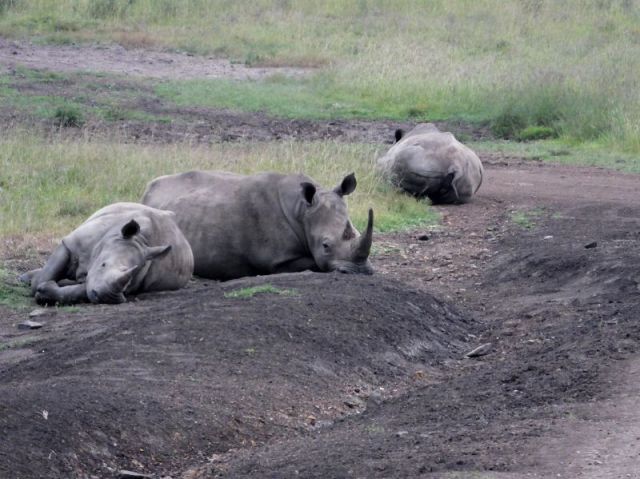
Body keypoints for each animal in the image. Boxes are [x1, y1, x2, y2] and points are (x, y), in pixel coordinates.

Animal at [20, 203, 194, 304]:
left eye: (129, 281)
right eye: (103, 265)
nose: (108, 297)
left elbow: (81, 291)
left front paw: (46, 292)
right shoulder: (70, 244)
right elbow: (45, 276)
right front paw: (39, 286)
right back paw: (25, 278)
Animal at [141, 171, 374, 280]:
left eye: (355, 232)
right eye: (325, 246)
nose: (360, 271)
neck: (302, 210)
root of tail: (150, 187)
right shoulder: (278, 260)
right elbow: (314, 264)